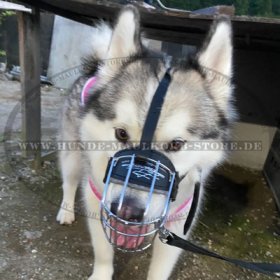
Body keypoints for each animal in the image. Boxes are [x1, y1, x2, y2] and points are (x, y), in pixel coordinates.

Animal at [55, 4, 235, 280]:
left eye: (176, 144)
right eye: (121, 134)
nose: (127, 212)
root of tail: (95, 69)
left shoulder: (179, 224)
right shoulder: (98, 200)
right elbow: (103, 251)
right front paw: (102, 272)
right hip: (74, 154)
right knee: (70, 181)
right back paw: (65, 211)